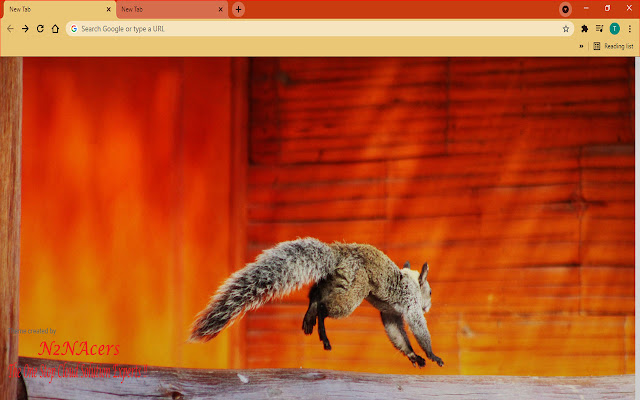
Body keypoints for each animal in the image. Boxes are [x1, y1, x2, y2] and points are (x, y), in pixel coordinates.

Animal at [189, 237, 443, 368]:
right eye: (430, 292)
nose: (429, 306)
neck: (410, 280)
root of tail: (338, 254)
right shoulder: (410, 304)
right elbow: (418, 328)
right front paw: (432, 354)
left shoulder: (390, 314)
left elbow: (397, 334)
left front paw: (413, 356)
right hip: (355, 289)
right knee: (324, 305)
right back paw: (322, 331)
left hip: (336, 281)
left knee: (315, 296)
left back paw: (310, 318)